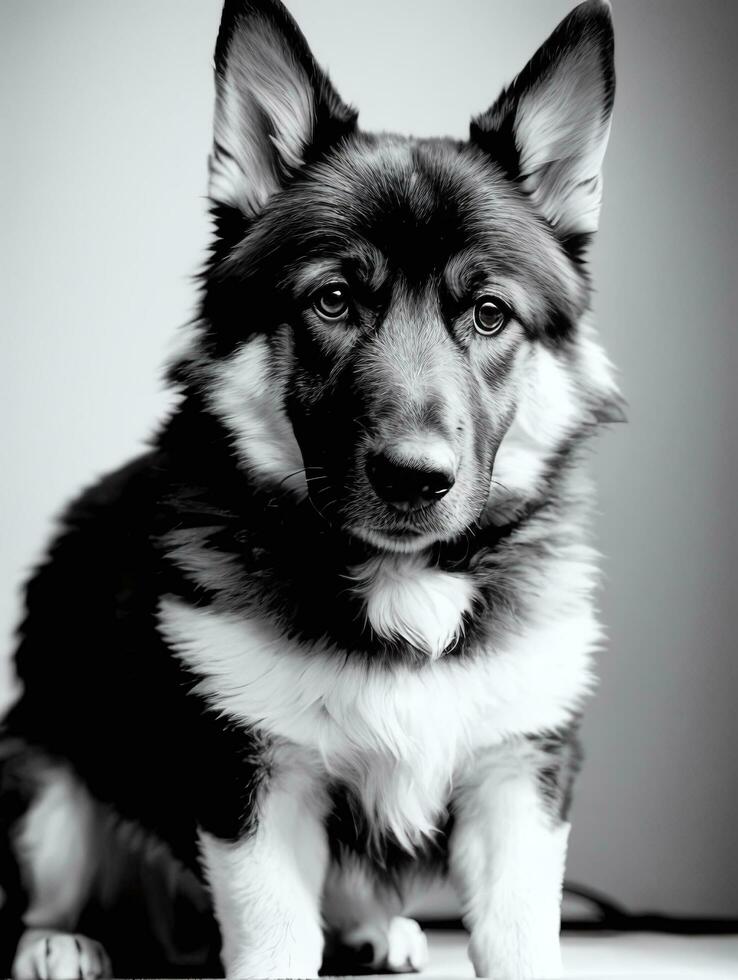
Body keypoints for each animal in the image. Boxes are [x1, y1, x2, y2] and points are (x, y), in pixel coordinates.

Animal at [1, 0, 620, 976]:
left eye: (489, 314)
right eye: (333, 300)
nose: (415, 479)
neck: (405, 581)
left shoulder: (519, 772)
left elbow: (521, 937)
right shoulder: (253, 780)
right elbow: (278, 937)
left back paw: (374, 932)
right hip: (41, 780)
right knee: (48, 884)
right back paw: (61, 940)